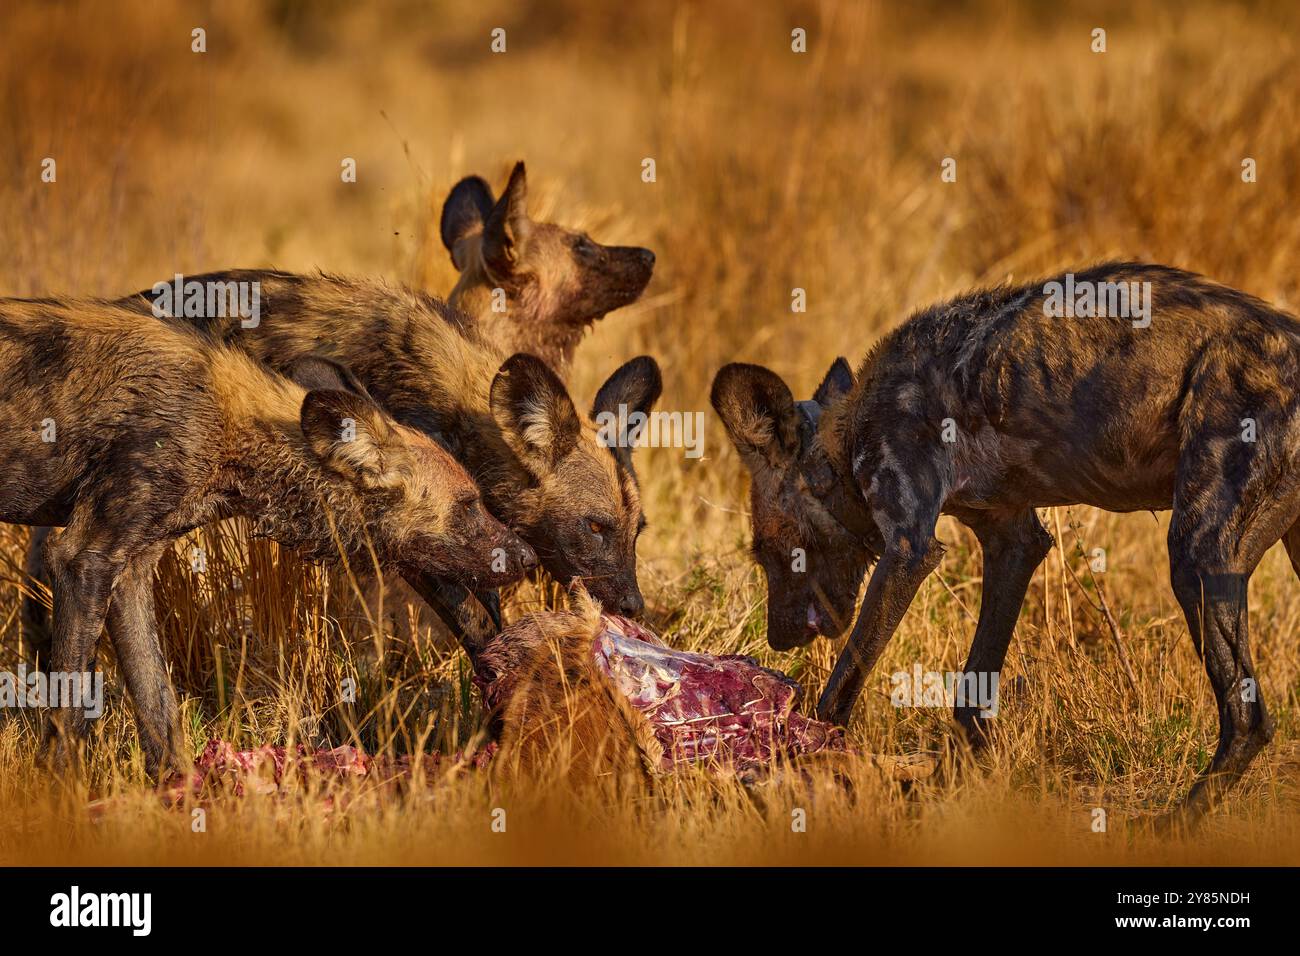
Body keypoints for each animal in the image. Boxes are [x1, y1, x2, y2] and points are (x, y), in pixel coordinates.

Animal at [0, 299, 538, 780]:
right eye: (469, 505)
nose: (529, 555)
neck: (231, 426)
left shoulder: (128, 567)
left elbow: (157, 701)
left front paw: (181, 787)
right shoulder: (83, 558)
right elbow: (69, 708)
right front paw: (61, 790)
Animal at [712, 264, 1300, 832]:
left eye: (766, 550)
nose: (777, 637)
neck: (848, 435)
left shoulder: (907, 550)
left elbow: (839, 690)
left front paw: (811, 763)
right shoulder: (1013, 543)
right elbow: (972, 695)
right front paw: (944, 790)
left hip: (1195, 557)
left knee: (1248, 719)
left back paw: (1172, 826)